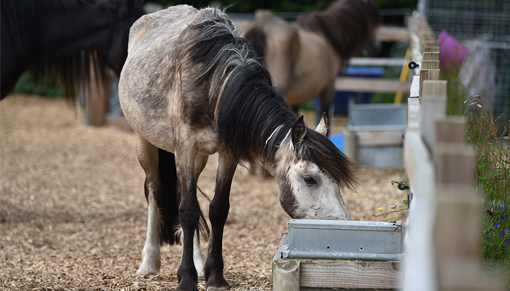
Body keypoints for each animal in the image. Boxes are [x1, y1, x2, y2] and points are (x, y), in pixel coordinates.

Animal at [118, 5, 356, 291]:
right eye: (310, 179)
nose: (342, 226)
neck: (216, 85)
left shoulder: (226, 153)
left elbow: (218, 209)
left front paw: (215, 277)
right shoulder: (185, 146)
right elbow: (187, 210)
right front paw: (185, 278)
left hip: (198, 157)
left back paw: (197, 261)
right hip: (145, 141)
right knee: (156, 190)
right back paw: (149, 262)